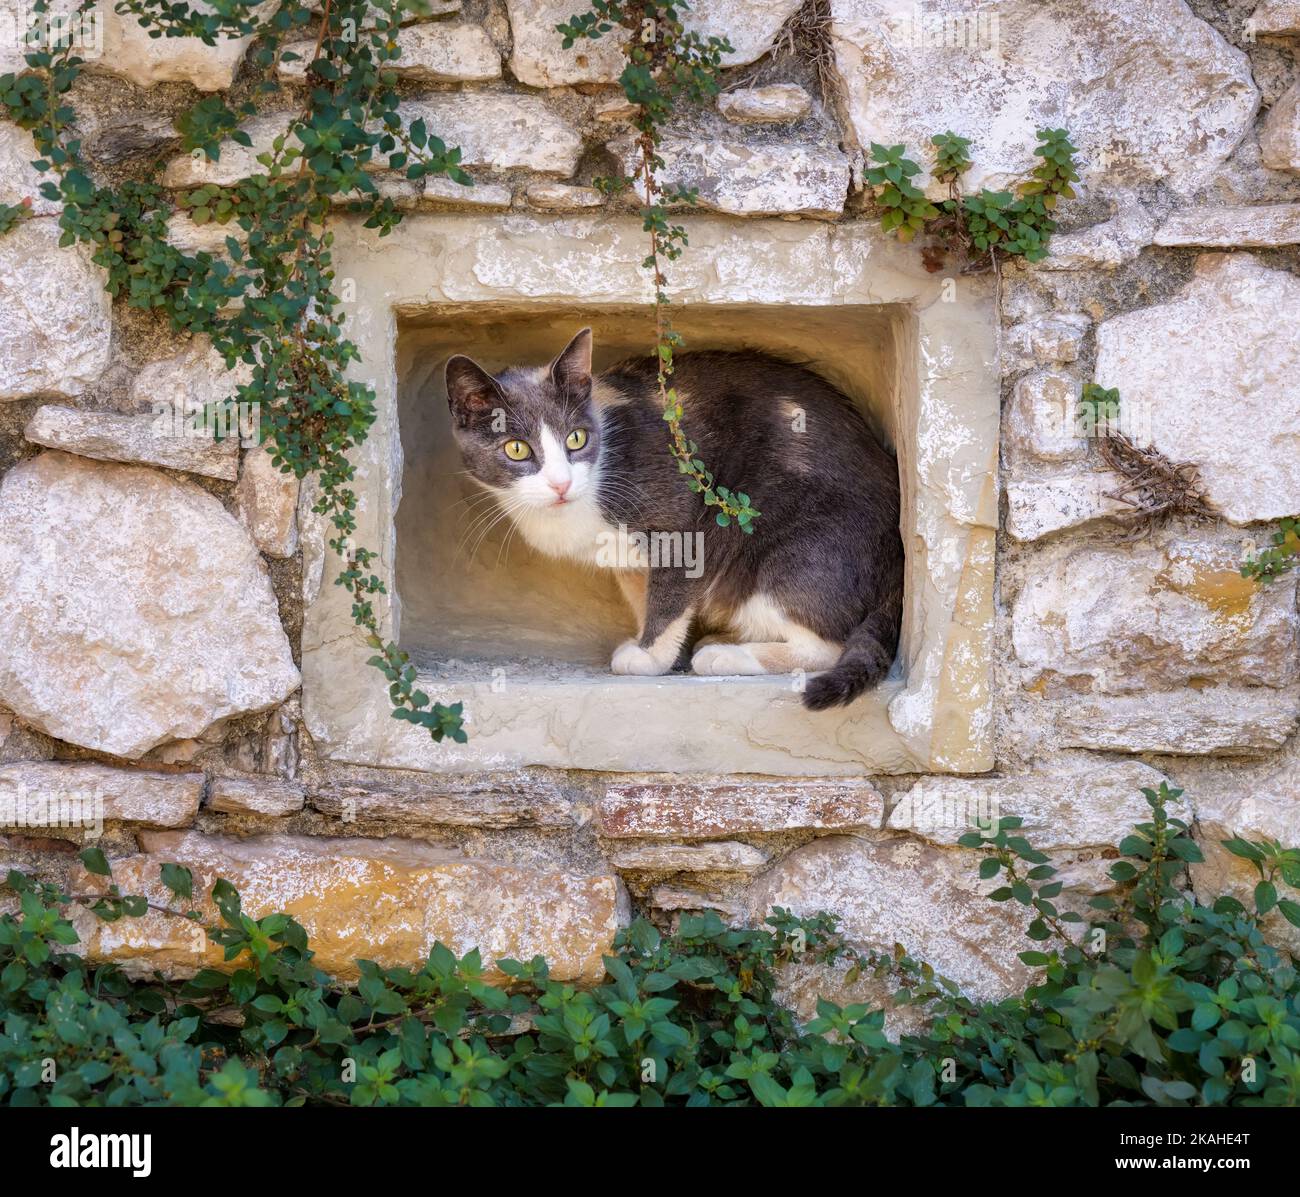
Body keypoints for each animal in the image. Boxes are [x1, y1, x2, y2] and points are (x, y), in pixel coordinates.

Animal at [441, 324, 899, 712]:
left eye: (576, 439)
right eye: (516, 449)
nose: (560, 484)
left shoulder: (680, 522)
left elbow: (670, 596)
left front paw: (649, 656)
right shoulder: (630, 560)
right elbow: (643, 596)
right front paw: (653, 644)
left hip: (796, 548)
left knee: (828, 645)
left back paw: (723, 654)